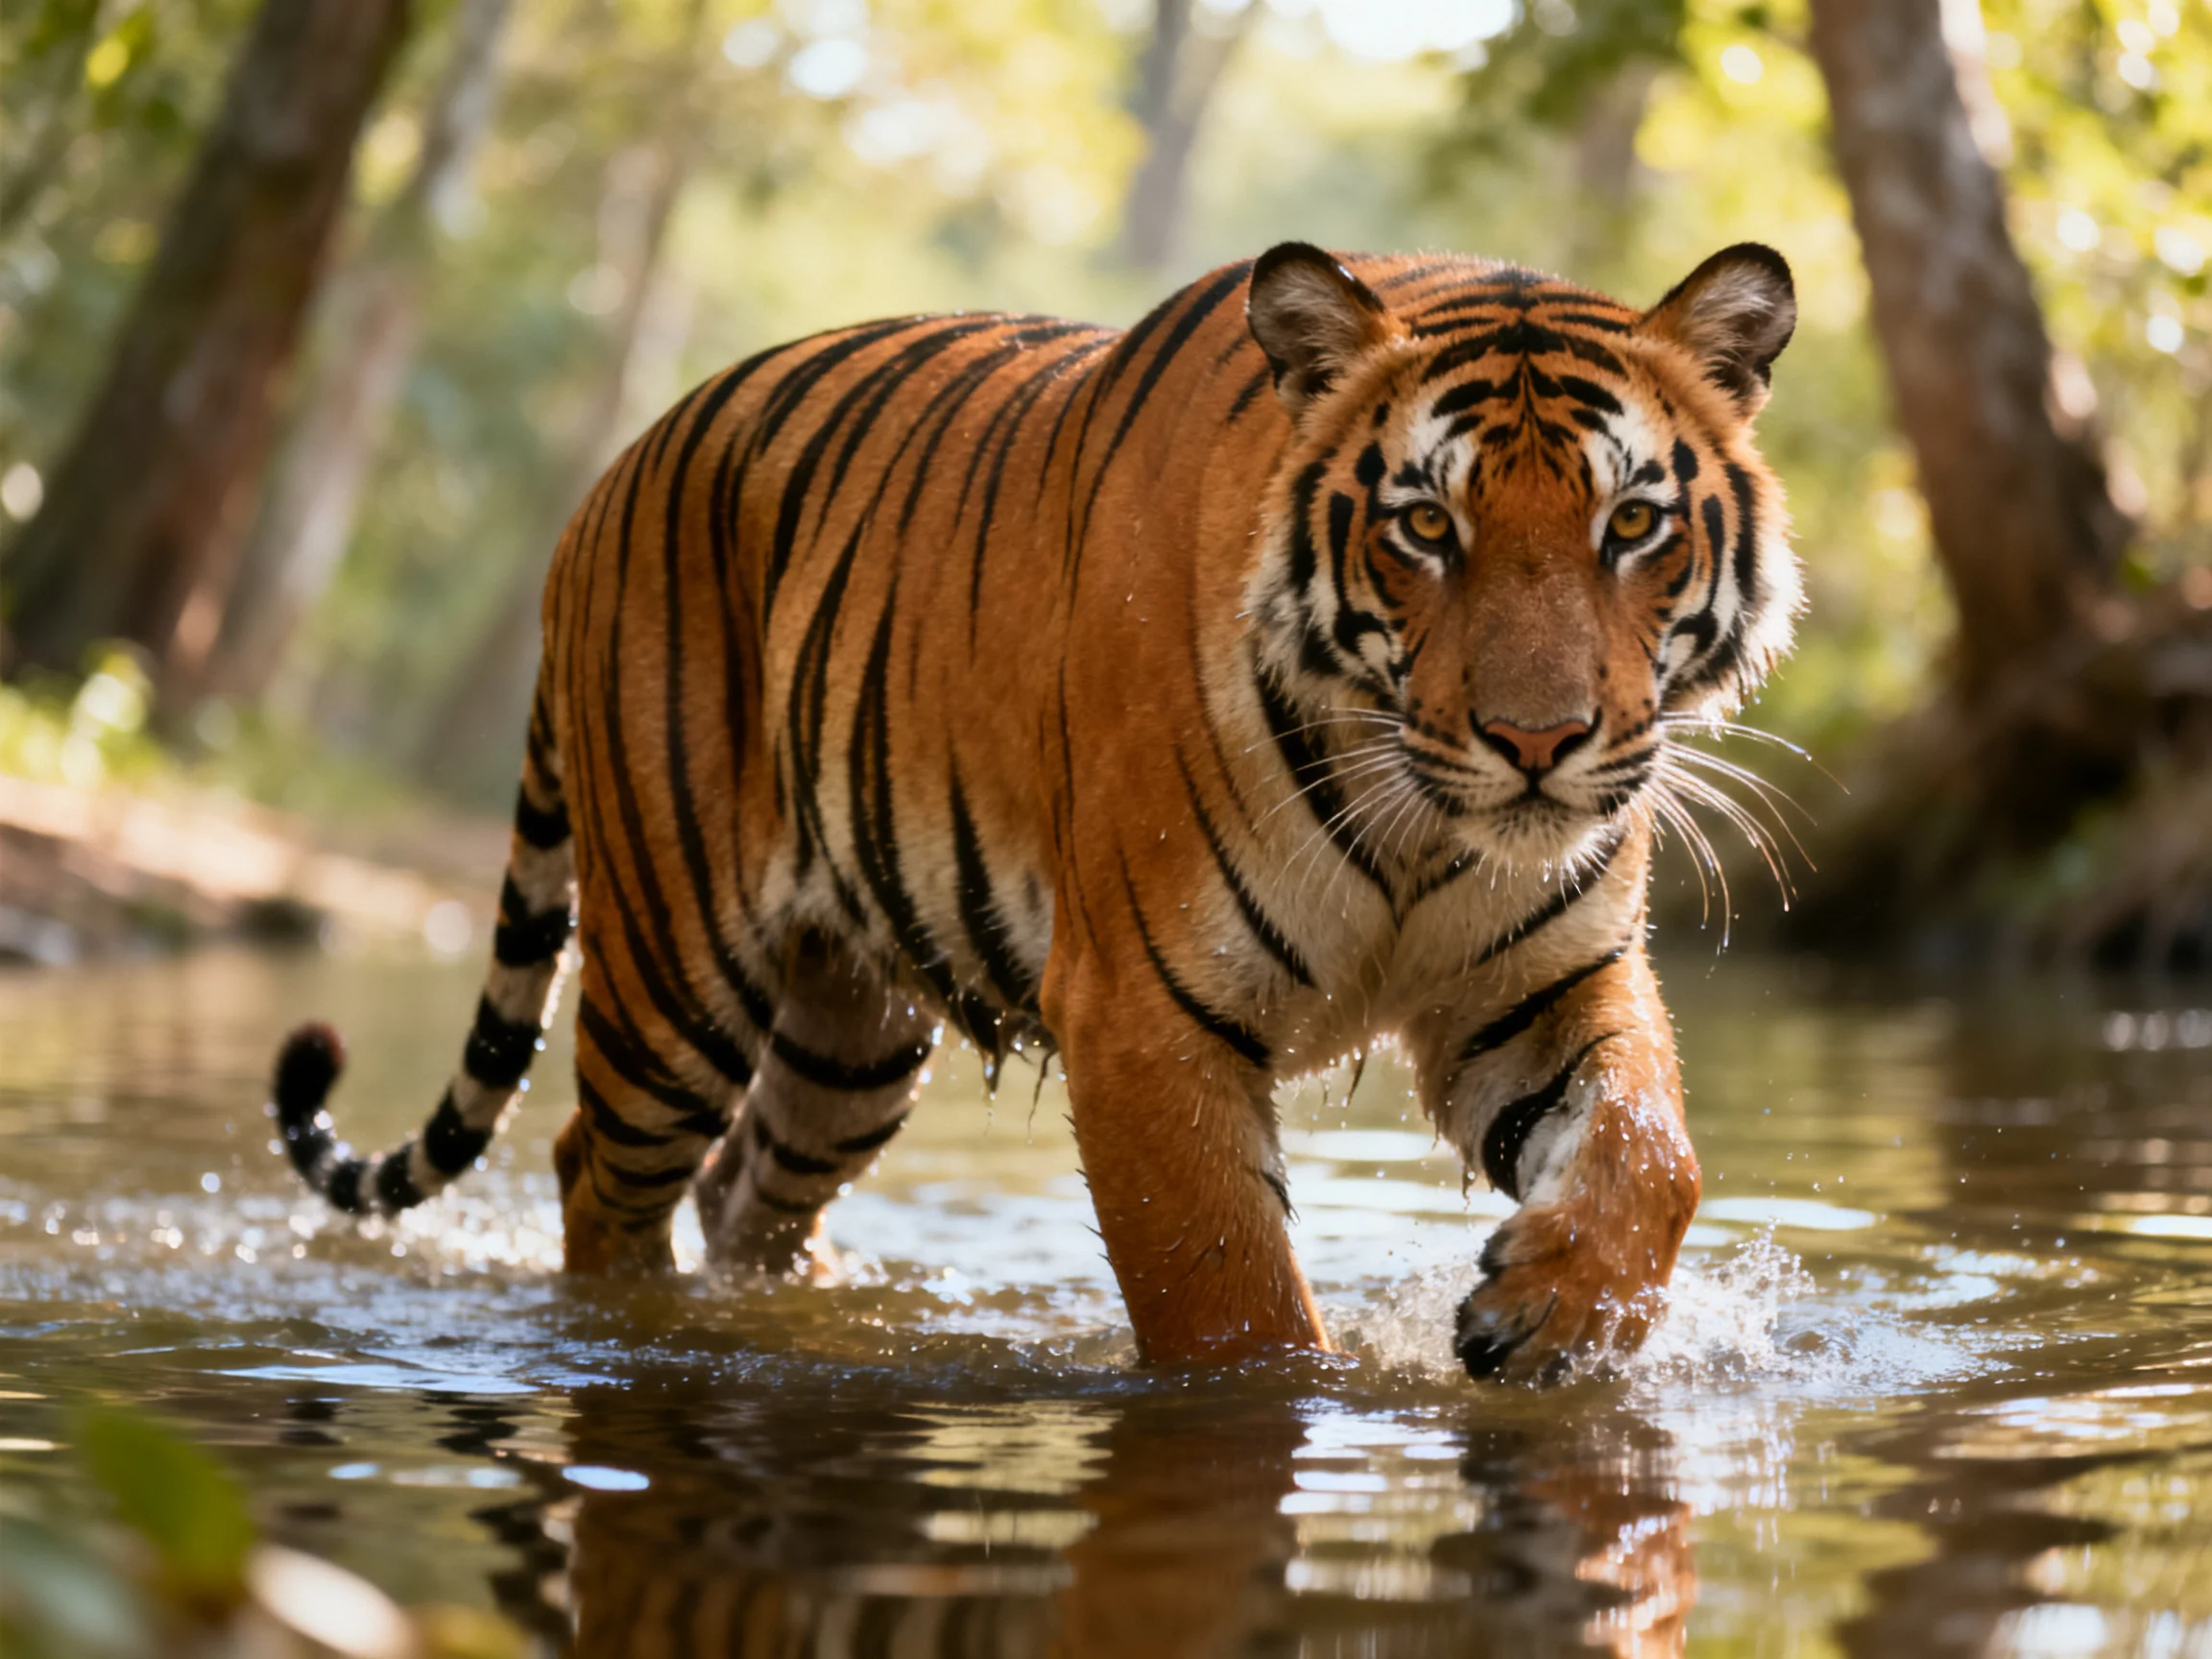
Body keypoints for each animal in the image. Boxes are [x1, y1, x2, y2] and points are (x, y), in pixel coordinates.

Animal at [271, 240, 1798, 1382]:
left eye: (1633, 525)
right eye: (1426, 526)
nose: (1539, 742)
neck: (1423, 831)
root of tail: (605, 484)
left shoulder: (1536, 983)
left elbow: (1652, 1149)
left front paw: (1554, 1311)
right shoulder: (1145, 1013)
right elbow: (1230, 1302)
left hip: (848, 1035)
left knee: (746, 1190)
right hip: (671, 977)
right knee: (597, 1170)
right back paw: (632, 1338)